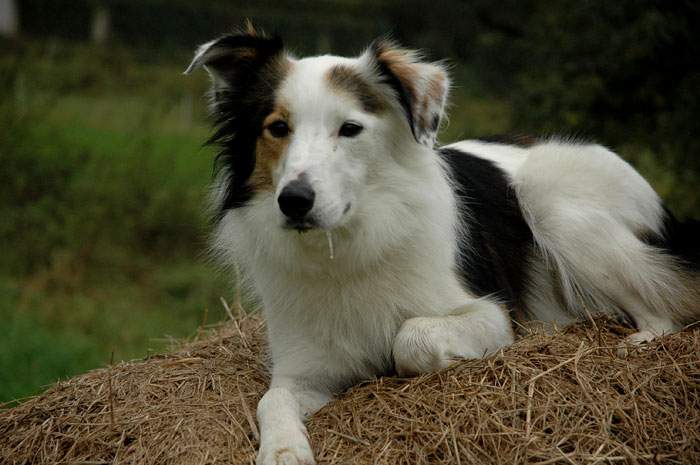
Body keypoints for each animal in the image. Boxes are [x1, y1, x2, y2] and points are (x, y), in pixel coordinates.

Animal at [186, 28, 700, 464]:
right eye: (277, 128)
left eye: (350, 128)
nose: (294, 202)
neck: (349, 244)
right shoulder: (303, 369)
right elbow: (271, 400)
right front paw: (283, 450)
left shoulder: (490, 314)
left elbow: (410, 337)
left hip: (554, 208)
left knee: (664, 308)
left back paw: (632, 342)